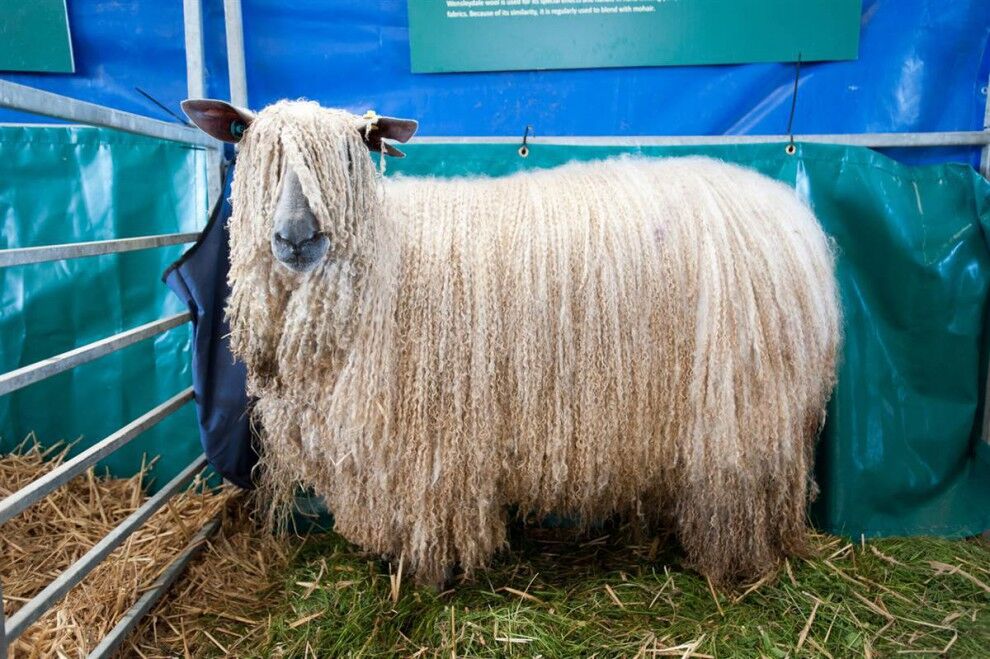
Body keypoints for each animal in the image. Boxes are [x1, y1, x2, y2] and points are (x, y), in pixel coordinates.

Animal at [182, 99, 840, 588]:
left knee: (741, 490)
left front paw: (432, 579)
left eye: (354, 153)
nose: (297, 237)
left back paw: (733, 566)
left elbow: (432, 523)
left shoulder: (431, 445)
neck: (386, 264)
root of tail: (796, 216)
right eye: (256, 149)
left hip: (747, 411)